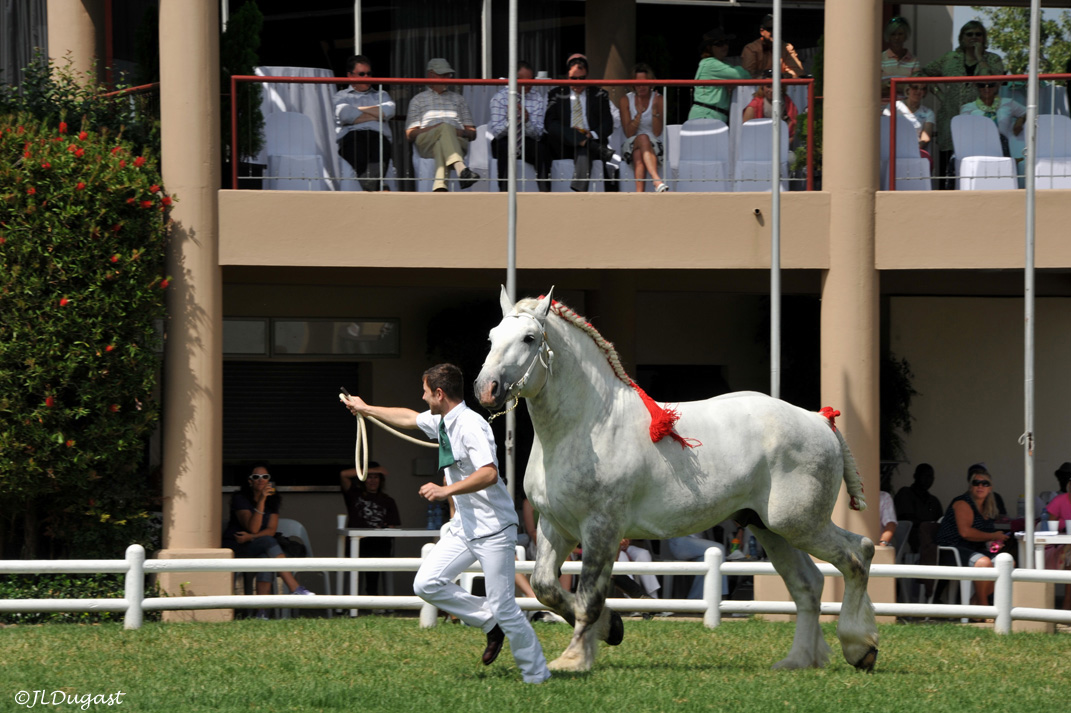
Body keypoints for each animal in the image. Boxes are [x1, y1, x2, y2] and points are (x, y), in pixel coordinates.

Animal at [474, 287, 878, 673]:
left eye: (529, 338)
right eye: (491, 336)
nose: (486, 389)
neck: (589, 424)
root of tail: (818, 419)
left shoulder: (602, 528)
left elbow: (589, 597)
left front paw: (574, 659)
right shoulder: (555, 525)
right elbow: (545, 587)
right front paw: (610, 629)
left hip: (799, 523)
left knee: (859, 554)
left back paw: (861, 648)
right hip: (770, 529)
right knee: (809, 585)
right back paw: (799, 661)